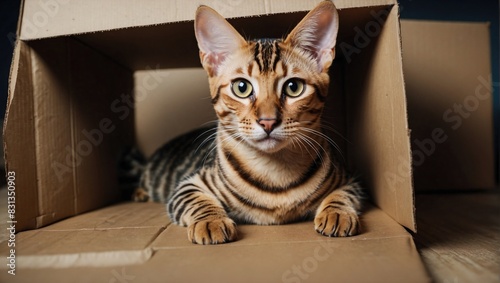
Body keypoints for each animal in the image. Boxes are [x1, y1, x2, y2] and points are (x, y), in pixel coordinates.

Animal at [128, 0, 364, 245]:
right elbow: (199, 201)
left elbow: (341, 195)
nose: (268, 121)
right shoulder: (187, 185)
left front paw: (337, 213)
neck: (274, 172)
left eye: (294, 87)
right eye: (241, 87)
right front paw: (210, 221)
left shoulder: (349, 180)